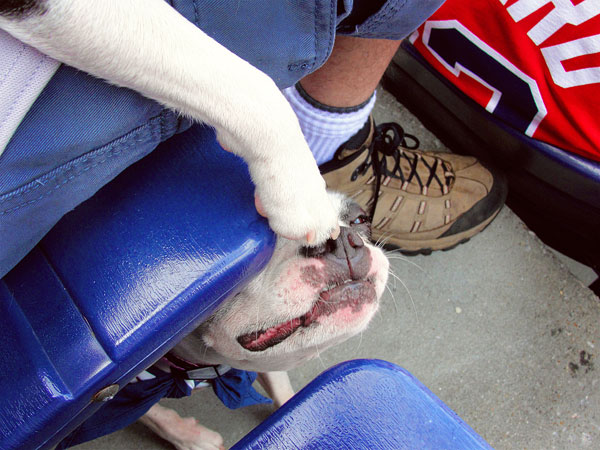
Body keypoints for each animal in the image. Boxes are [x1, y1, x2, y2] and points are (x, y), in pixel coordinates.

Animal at [0, 1, 392, 448]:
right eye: (266, 250)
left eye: (360, 220)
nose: (341, 241)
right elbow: (153, 414)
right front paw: (191, 436)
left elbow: (281, 385)